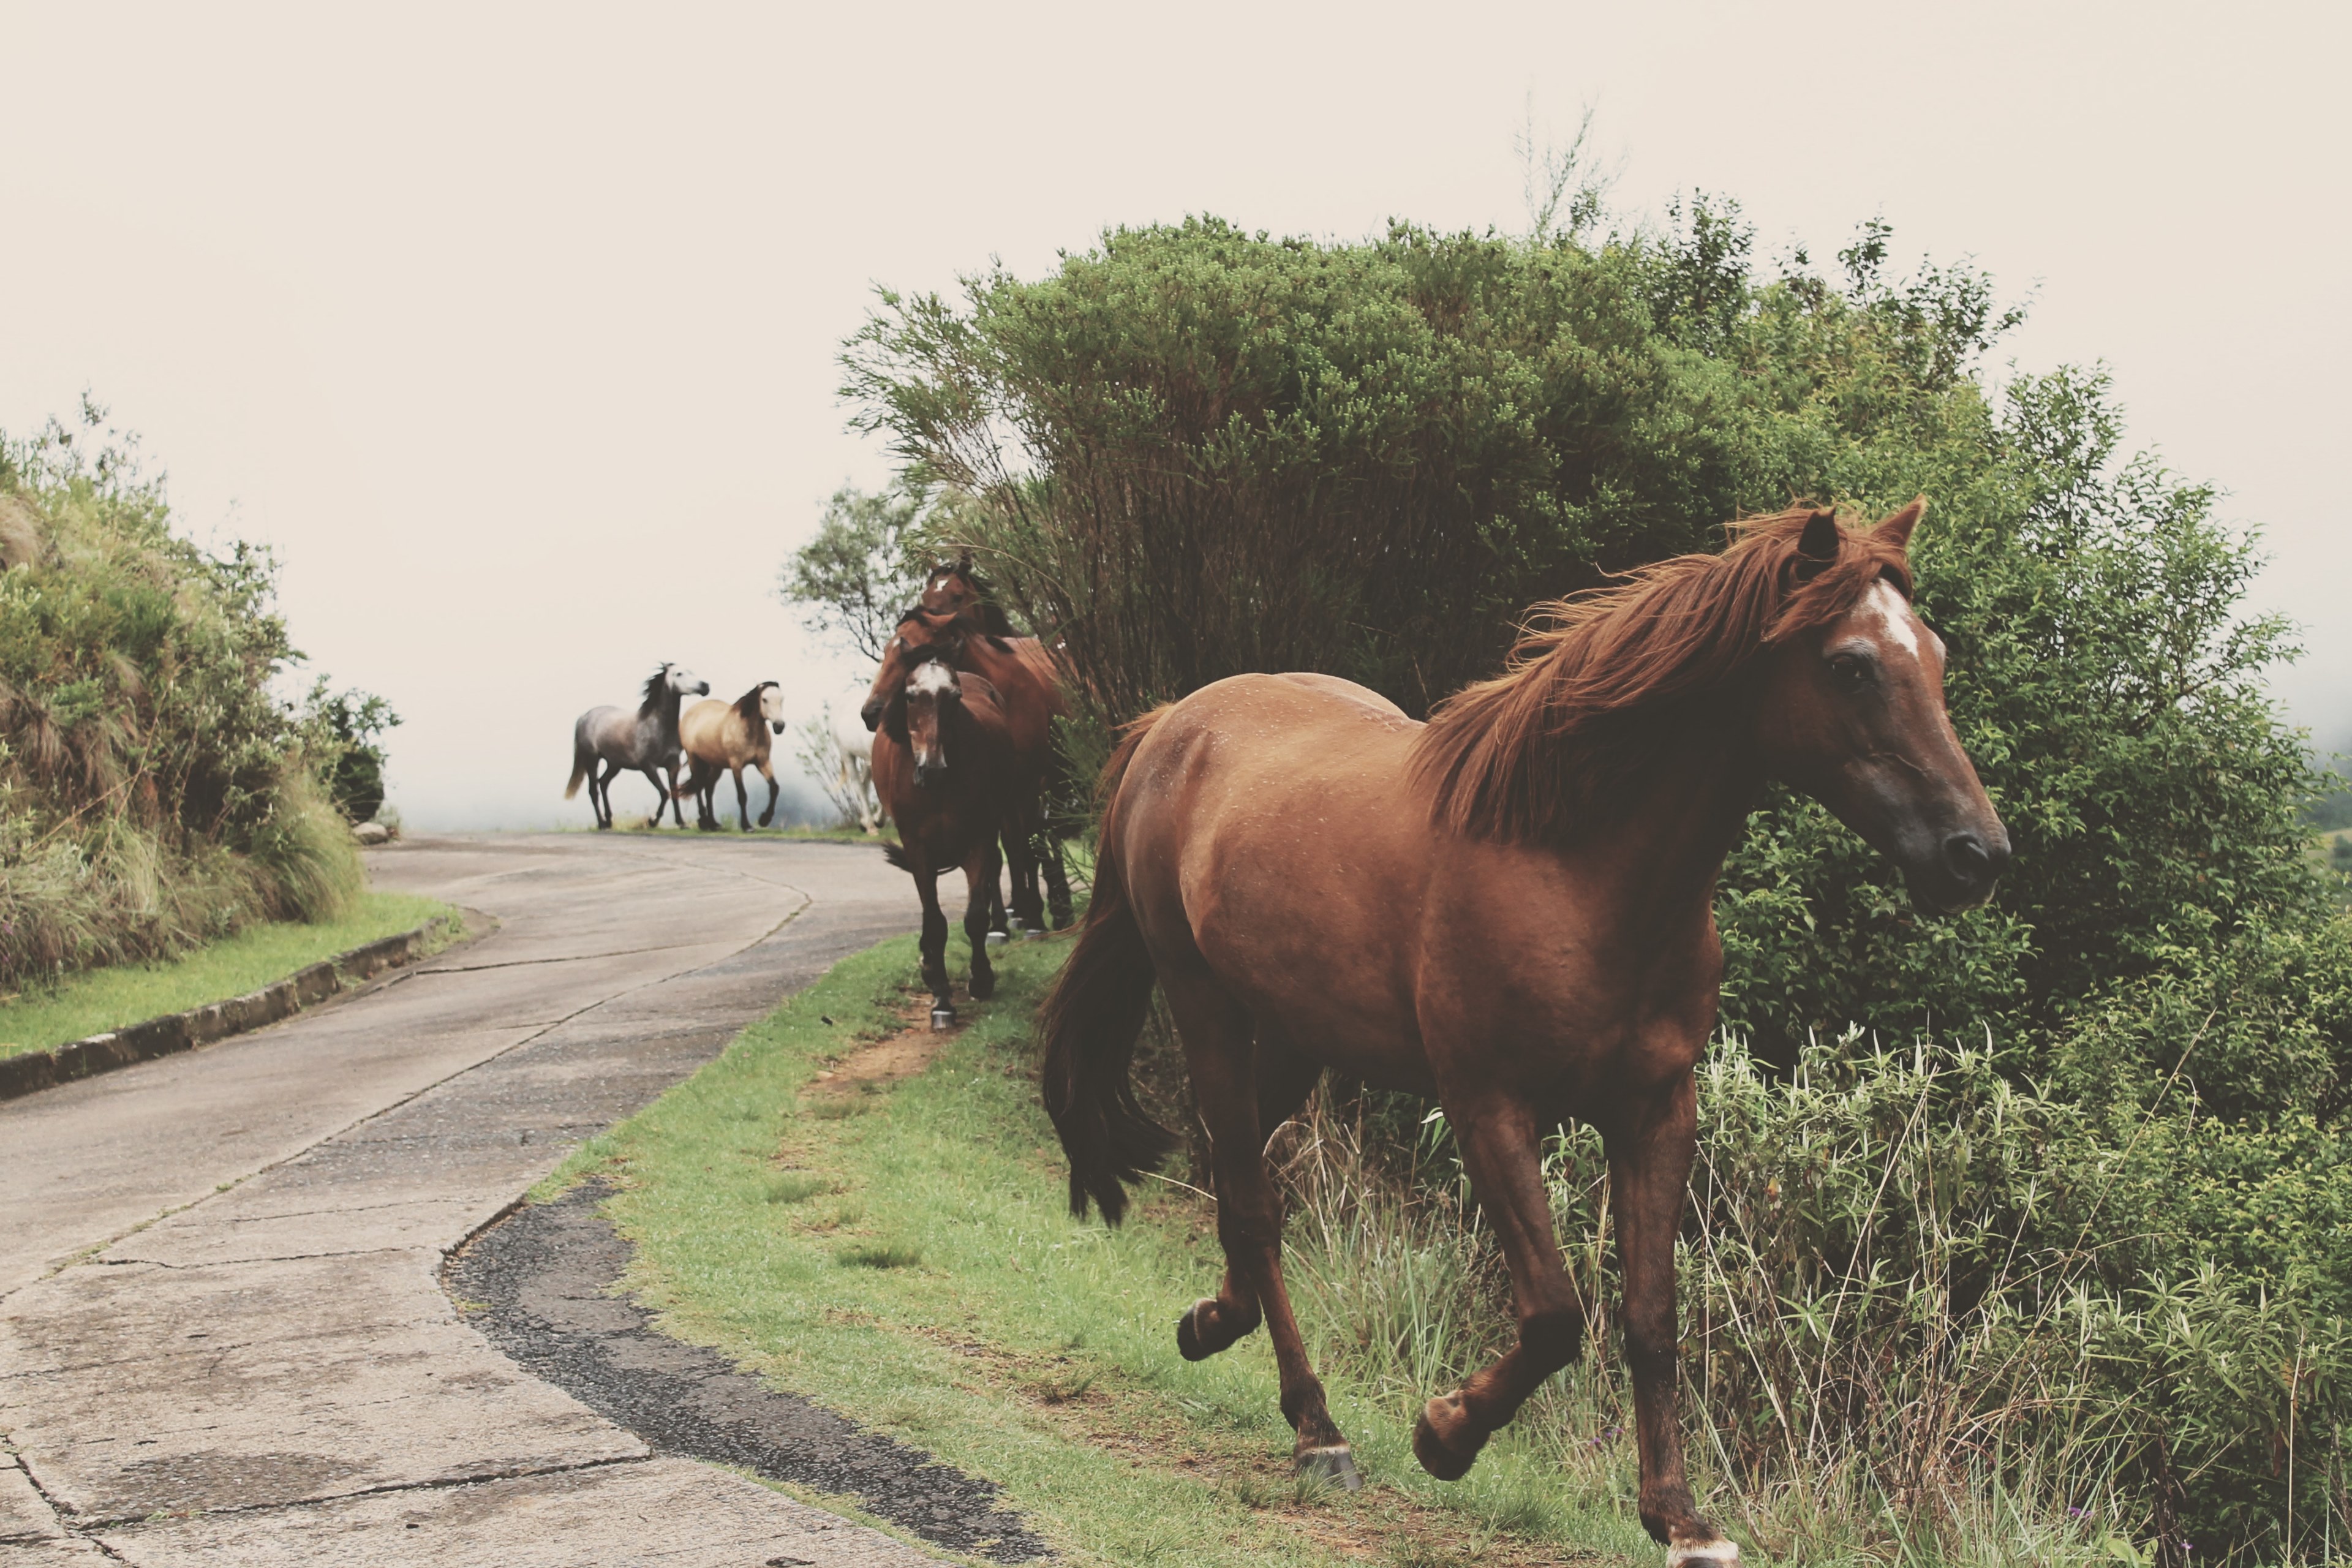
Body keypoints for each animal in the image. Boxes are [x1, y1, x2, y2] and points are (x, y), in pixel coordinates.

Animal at [564, 662, 708, 829]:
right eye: (679, 674)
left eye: (691, 672)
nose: (705, 686)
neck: (658, 728)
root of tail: (584, 717)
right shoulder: (648, 767)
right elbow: (664, 793)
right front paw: (652, 821)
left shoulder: (673, 765)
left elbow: (673, 791)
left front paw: (681, 823)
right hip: (592, 760)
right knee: (594, 790)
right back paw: (602, 824)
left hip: (614, 764)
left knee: (603, 783)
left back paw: (609, 820)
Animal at [677, 680, 786, 831]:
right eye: (765, 699)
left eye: (782, 699)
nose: (779, 726)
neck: (748, 731)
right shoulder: (737, 765)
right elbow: (742, 795)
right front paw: (747, 826)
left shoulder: (763, 762)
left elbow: (774, 788)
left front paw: (764, 819)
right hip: (694, 759)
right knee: (699, 787)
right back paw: (704, 822)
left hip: (716, 766)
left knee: (709, 789)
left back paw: (713, 824)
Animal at [871, 633, 1020, 1025]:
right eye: (910, 696)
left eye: (954, 697)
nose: (933, 769)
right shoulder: (917, 846)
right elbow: (935, 922)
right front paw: (940, 998)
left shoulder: (980, 836)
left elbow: (975, 916)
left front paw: (980, 979)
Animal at [1038, 502, 2007, 1565]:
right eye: (1852, 666)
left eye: (1937, 656)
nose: (1976, 854)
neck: (1573, 866)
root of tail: (1172, 723)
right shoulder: (1490, 1105)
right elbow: (1553, 1316)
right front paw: (1443, 1433)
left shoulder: (1657, 1110)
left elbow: (1651, 1316)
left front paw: (1680, 1517)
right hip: (1206, 1004)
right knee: (1252, 1203)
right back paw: (1317, 1429)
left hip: (1297, 1034)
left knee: (1236, 1175)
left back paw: (1214, 1322)